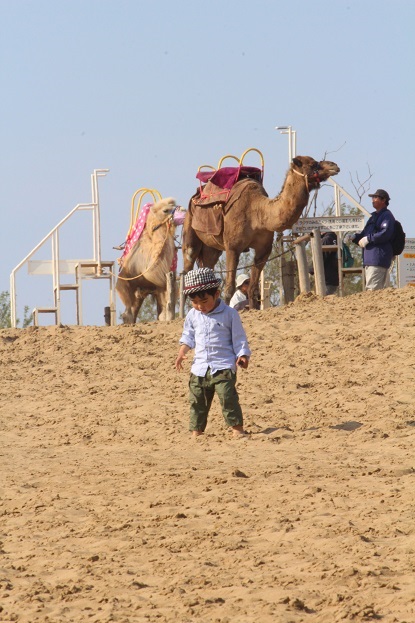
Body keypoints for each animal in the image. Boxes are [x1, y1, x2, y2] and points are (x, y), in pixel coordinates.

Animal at [184, 156, 340, 308]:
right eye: (313, 164)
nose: (334, 165)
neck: (258, 212)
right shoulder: (233, 247)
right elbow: (229, 289)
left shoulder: (263, 250)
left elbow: (253, 289)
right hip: (190, 231)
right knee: (188, 265)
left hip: (212, 248)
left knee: (208, 264)